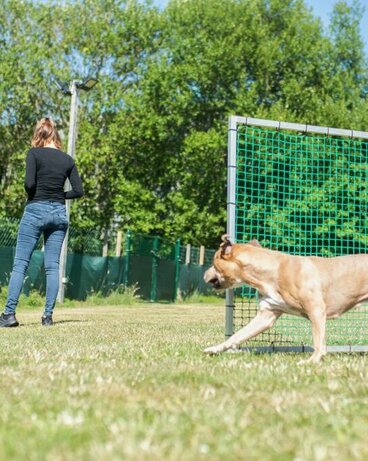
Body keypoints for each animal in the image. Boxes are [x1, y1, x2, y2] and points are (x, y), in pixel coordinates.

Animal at [203, 237, 368, 362]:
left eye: (213, 263)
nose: (204, 273)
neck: (272, 271)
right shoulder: (266, 315)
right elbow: (238, 335)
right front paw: (215, 348)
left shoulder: (316, 310)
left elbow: (318, 340)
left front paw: (312, 360)